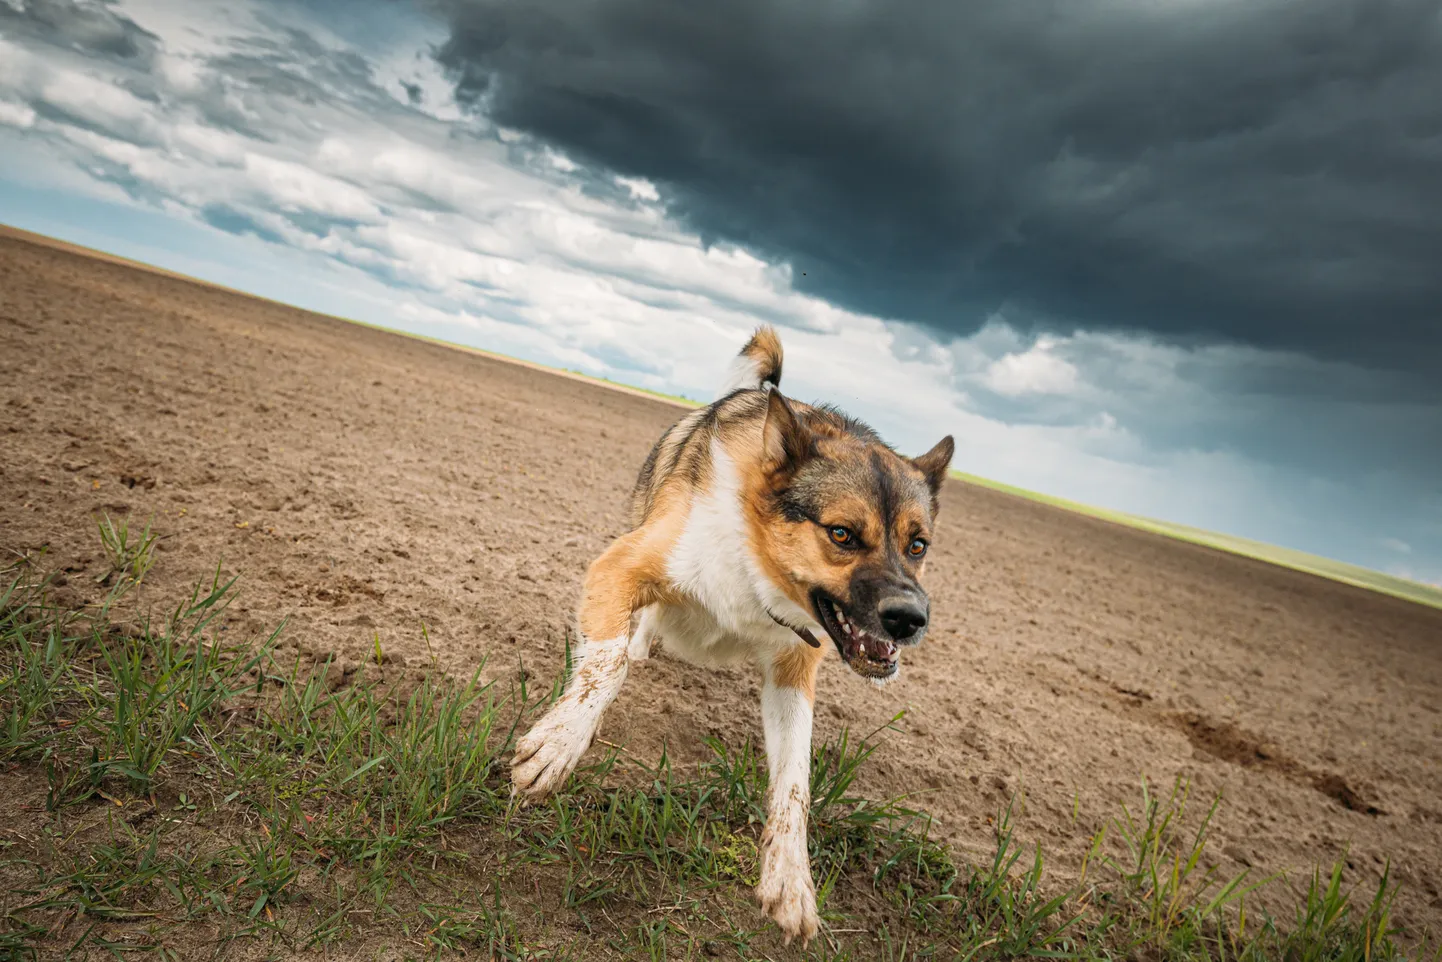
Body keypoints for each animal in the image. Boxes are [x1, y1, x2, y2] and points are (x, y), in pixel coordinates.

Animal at [510, 327, 957, 946]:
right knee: (633, 636)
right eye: (842, 534)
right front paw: (558, 745)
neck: (755, 558)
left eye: (918, 545)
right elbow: (604, 666)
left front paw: (789, 877)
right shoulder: (618, 567)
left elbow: (795, 781)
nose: (912, 619)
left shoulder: (795, 668)